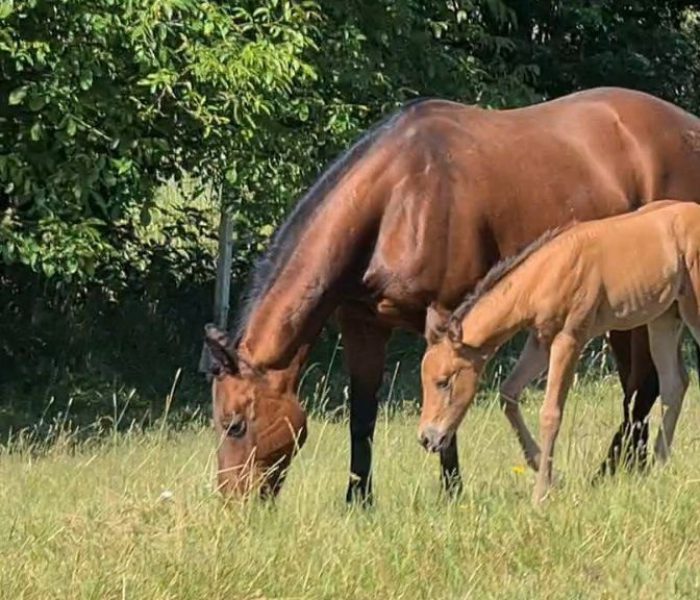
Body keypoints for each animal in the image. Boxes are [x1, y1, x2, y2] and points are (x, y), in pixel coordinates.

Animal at [419, 200, 700, 505]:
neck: (545, 274)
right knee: (674, 384)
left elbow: (550, 413)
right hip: (666, 317)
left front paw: (541, 493)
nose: (426, 439)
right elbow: (508, 393)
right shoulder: (540, 341)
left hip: (692, 311)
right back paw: (660, 467)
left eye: (444, 382)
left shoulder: (569, 339)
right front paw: (551, 474)